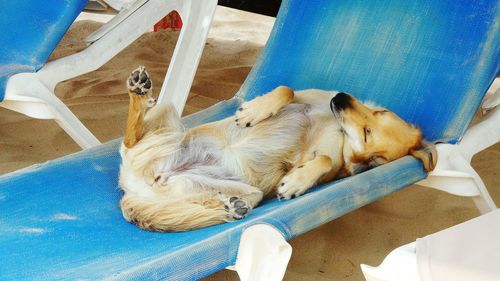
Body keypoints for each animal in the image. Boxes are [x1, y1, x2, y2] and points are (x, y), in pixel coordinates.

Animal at [119, 66, 436, 231]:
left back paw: (231, 207)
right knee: (130, 136)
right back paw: (139, 90)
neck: (334, 123)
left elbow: (322, 159)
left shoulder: (319, 157)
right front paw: (253, 111)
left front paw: (296, 182)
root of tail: (135, 187)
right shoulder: (305, 97)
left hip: (226, 189)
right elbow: (286, 90)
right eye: (380, 113)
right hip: (169, 116)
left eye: (373, 159)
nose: (341, 98)